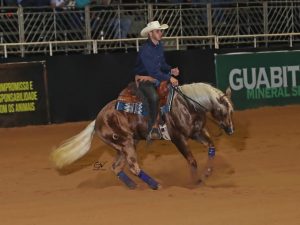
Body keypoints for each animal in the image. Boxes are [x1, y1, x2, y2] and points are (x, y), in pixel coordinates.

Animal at [51, 82, 234, 190]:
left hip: (124, 146)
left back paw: (133, 185)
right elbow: (192, 161)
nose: (231, 130)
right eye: (224, 111)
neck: (186, 105)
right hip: (126, 144)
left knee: (116, 167)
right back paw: (155, 185)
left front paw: (207, 173)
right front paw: (195, 181)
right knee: (133, 166)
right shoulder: (178, 138)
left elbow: (211, 148)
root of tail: (97, 120)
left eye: (232, 111)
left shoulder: (197, 133)